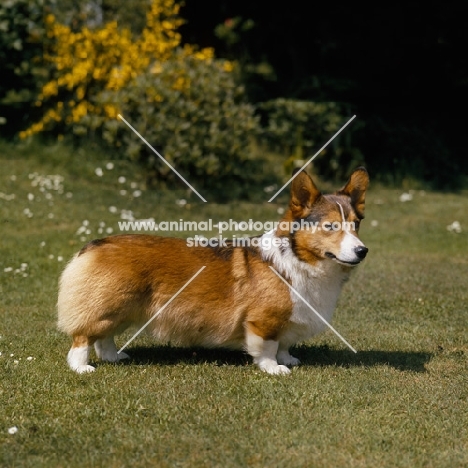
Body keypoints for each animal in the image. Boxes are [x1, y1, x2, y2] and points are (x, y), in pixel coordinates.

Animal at [56, 168, 370, 376]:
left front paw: (288, 359)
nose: (362, 251)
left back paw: (115, 357)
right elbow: (268, 347)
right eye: (330, 226)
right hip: (109, 307)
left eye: (355, 224)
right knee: (83, 338)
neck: (297, 258)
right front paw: (275, 369)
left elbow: (283, 344)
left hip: (122, 310)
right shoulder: (264, 321)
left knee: (104, 338)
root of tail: (95, 244)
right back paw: (82, 367)